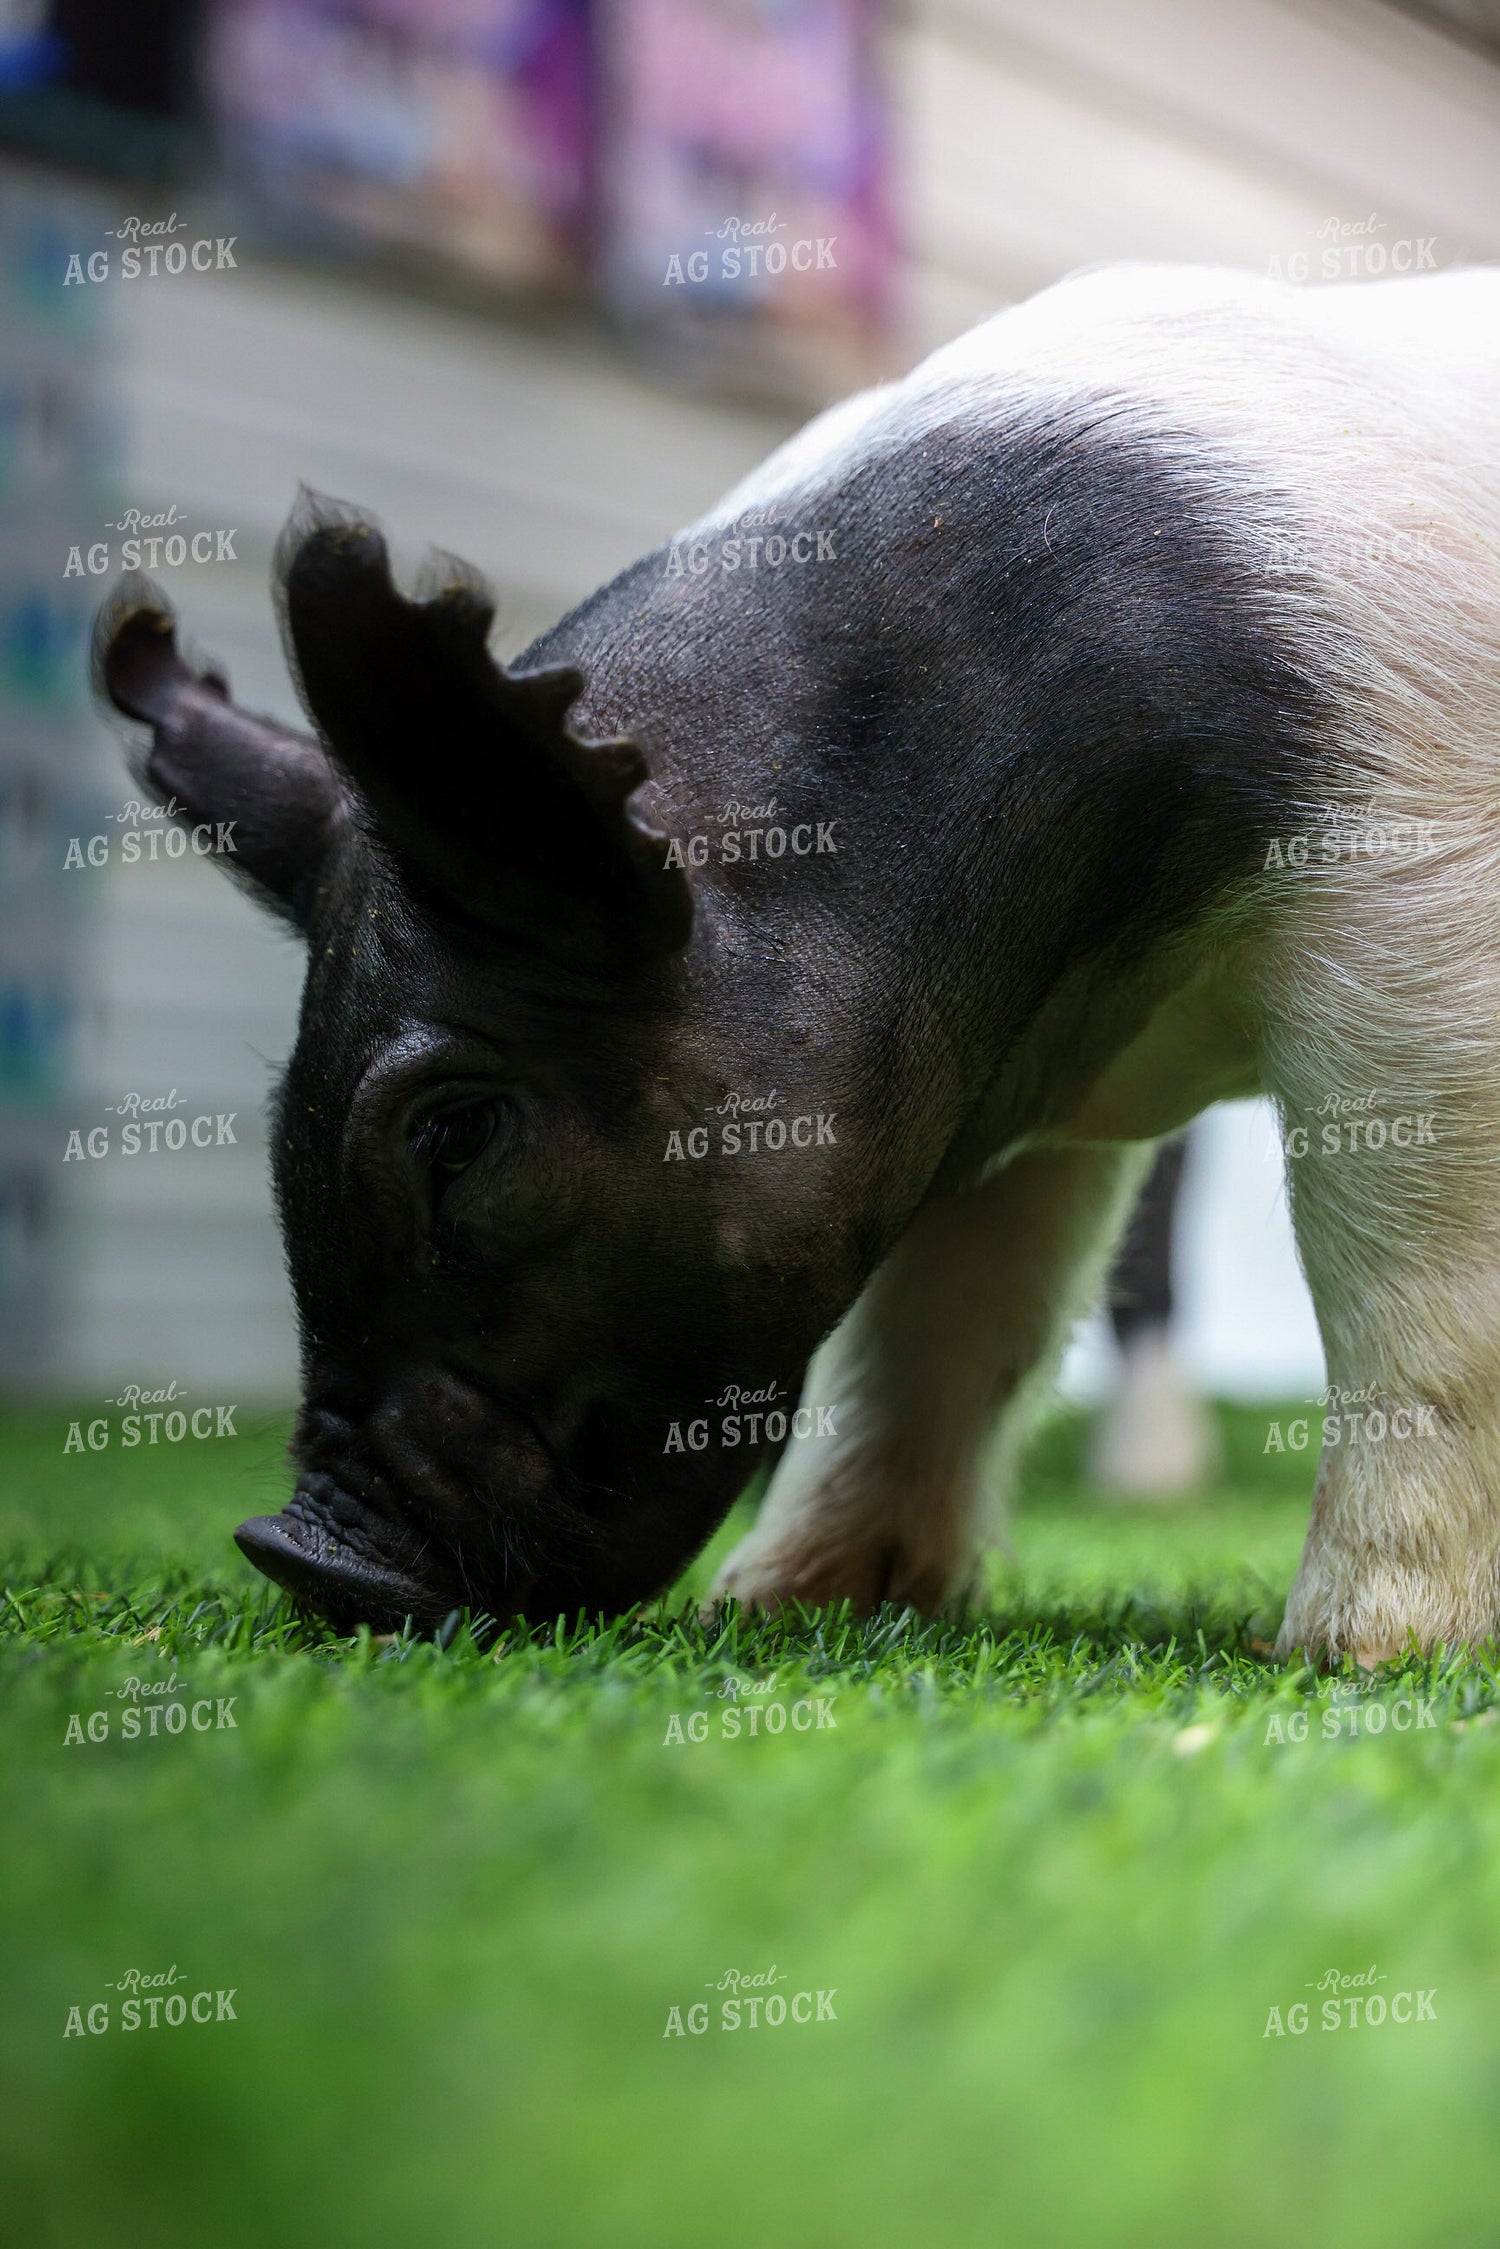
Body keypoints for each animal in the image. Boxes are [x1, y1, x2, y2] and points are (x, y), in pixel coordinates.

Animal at [96, 263, 1500, 1665]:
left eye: (456, 1131)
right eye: (280, 1113)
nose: (297, 1551)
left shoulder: (1418, 917)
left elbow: (1408, 1285)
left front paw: (1360, 1653)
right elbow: (946, 1322)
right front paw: (792, 1598)